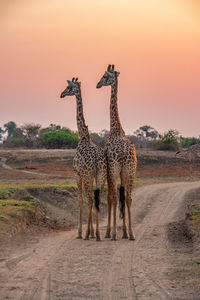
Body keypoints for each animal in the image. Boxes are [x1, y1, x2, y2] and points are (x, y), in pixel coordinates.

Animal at [60, 78, 107, 241]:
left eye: (68, 87)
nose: (61, 94)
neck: (83, 136)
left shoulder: (78, 174)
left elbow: (80, 200)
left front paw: (81, 232)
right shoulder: (91, 176)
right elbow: (88, 199)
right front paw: (91, 231)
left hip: (87, 175)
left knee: (90, 199)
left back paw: (87, 234)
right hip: (101, 175)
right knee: (97, 198)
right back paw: (97, 234)